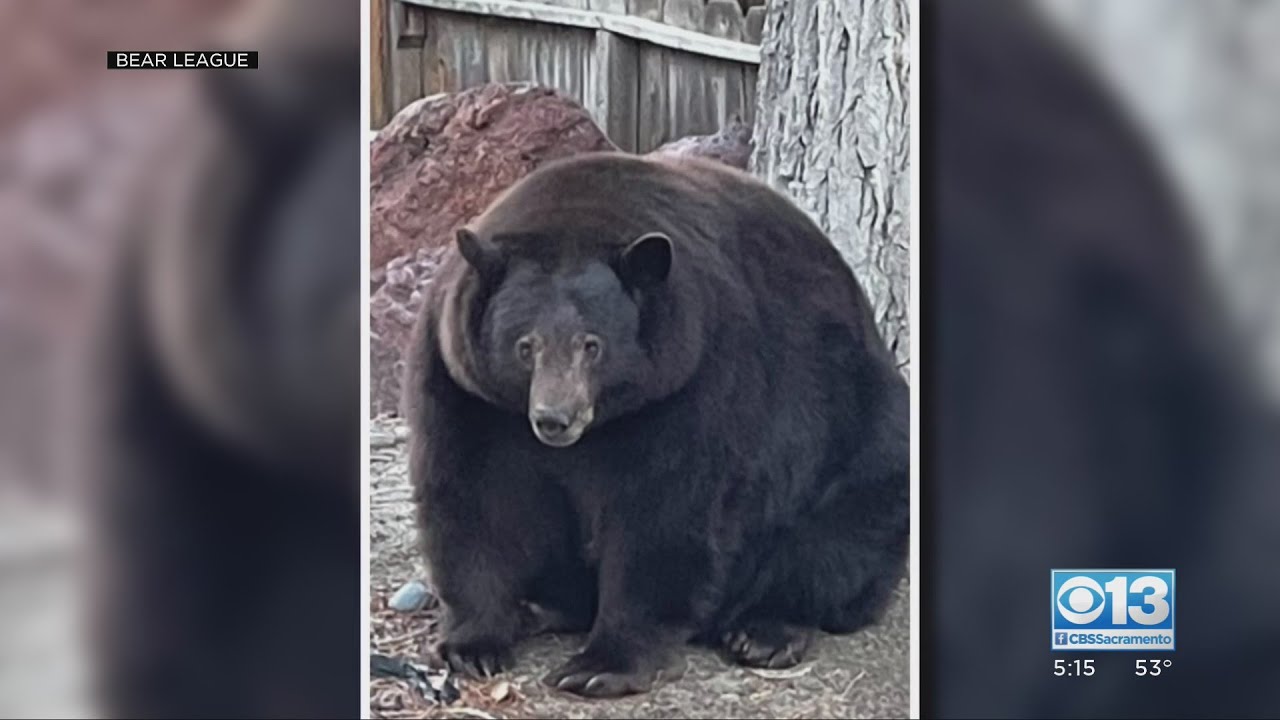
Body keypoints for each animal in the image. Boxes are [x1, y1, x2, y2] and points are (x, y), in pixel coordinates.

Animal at [405, 150, 910, 698]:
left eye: (592, 344)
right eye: (525, 345)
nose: (554, 419)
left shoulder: (694, 379)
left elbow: (664, 512)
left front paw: (599, 665)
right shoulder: (466, 388)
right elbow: (475, 496)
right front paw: (474, 644)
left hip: (858, 432)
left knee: (839, 536)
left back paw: (765, 631)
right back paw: (541, 607)